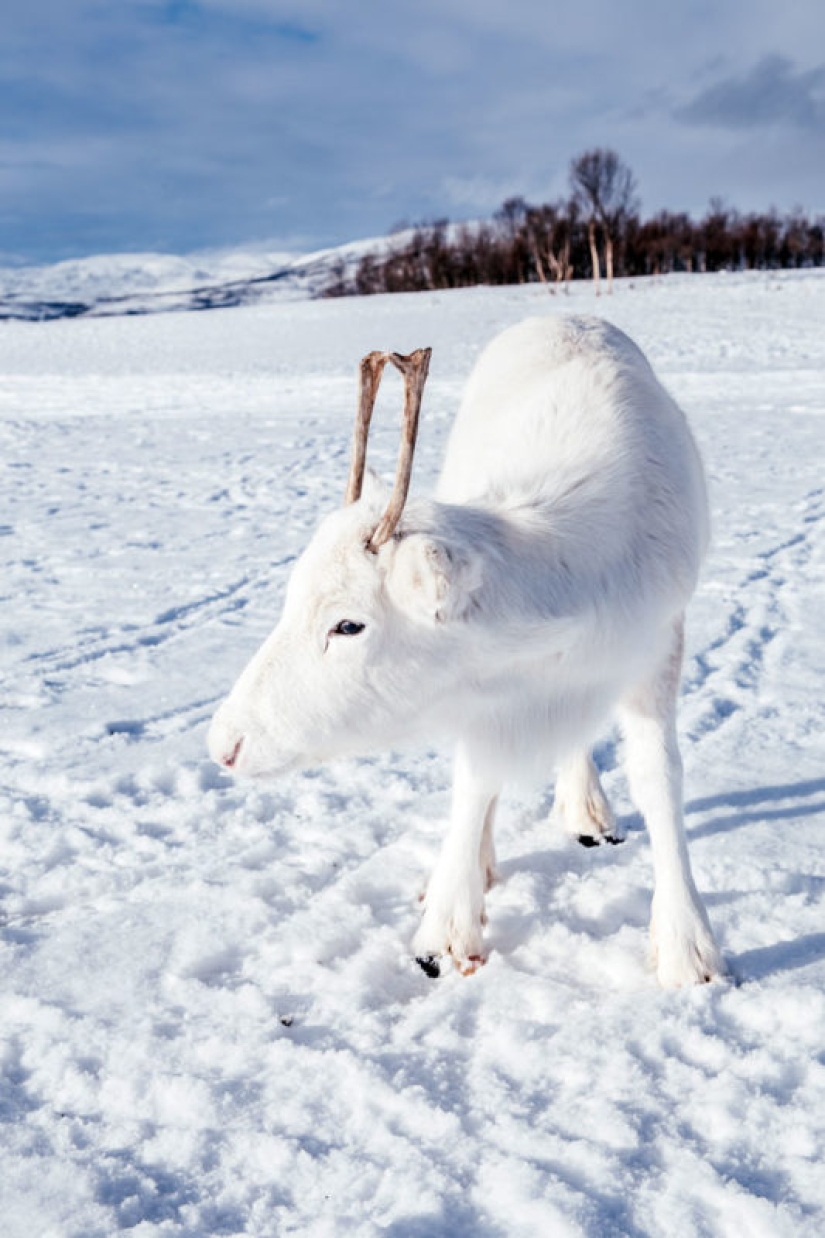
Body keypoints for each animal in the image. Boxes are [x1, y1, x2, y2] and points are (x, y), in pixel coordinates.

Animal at [208, 315, 725, 987]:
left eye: (348, 625)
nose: (224, 744)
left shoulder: (658, 644)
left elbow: (659, 778)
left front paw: (688, 947)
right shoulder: (483, 693)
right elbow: (476, 781)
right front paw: (448, 926)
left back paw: (586, 811)